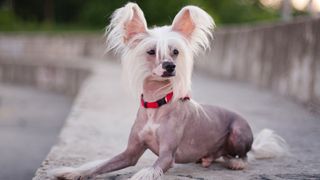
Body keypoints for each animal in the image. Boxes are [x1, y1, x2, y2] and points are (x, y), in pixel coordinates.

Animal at [51, 2, 288, 180]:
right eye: (151, 51)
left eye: (175, 52)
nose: (170, 66)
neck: (156, 104)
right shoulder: (130, 153)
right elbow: (100, 164)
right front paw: (73, 171)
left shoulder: (167, 155)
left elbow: (152, 168)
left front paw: (142, 175)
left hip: (238, 132)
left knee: (245, 156)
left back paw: (235, 163)